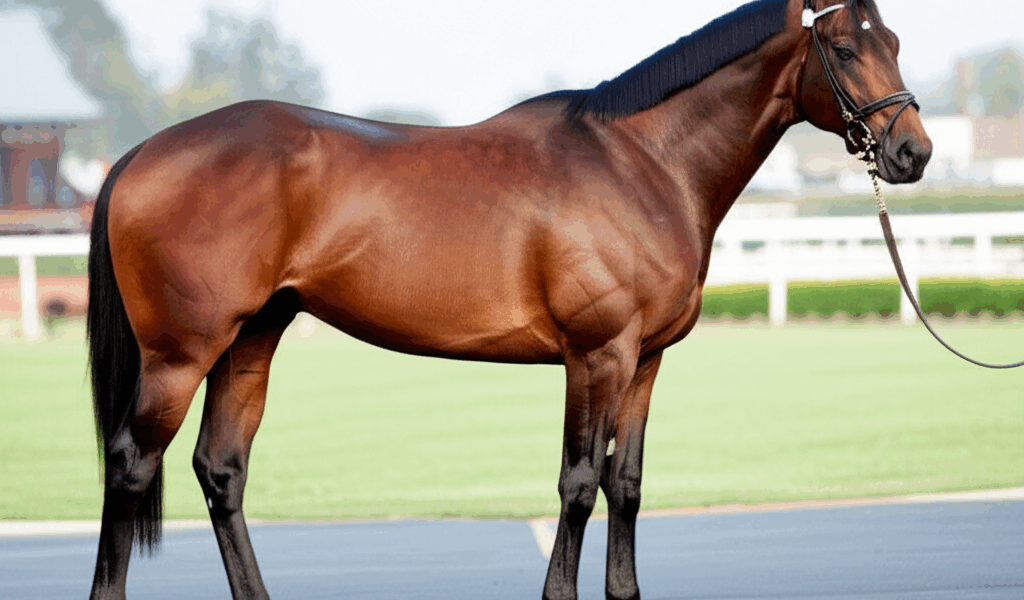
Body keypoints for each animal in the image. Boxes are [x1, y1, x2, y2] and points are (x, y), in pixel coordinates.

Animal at [86, 1, 931, 598]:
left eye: (894, 39)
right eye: (845, 47)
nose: (912, 152)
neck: (642, 163)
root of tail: (142, 152)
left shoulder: (645, 362)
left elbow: (625, 486)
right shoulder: (596, 357)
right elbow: (580, 484)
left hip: (251, 339)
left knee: (220, 468)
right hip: (180, 354)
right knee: (130, 464)